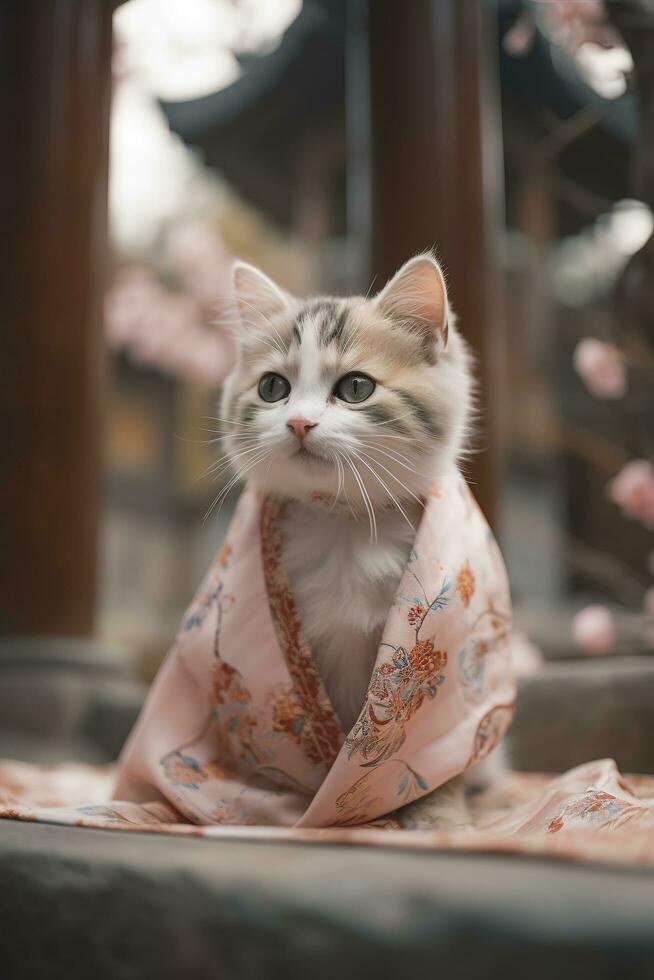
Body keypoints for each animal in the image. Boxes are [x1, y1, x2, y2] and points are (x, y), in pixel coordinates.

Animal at [220, 255, 492, 828]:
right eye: (273, 388)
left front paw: (439, 815)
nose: (299, 423)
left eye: (355, 388)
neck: (342, 519)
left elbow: (434, 753)